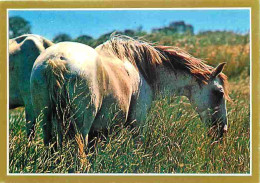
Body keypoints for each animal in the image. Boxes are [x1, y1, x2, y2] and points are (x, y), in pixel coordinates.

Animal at [31, 36, 230, 147]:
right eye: (218, 93)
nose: (223, 130)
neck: (140, 67)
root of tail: (56, 60)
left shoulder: (99, 132)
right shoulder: (137, 123)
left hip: (48, 127)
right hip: (80, 131)